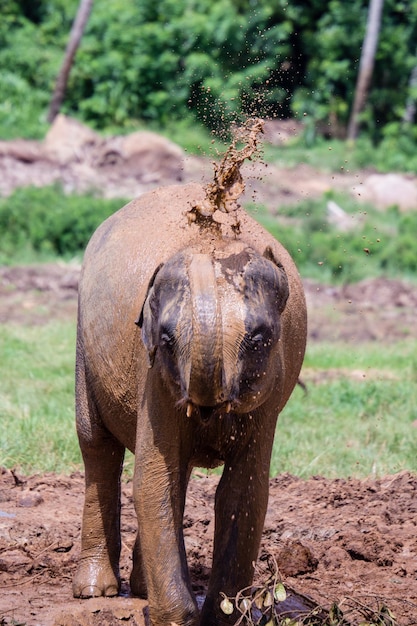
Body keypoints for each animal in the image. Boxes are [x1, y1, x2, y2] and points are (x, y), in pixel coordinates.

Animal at [72, 180, 306, 624]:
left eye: (259, 341)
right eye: (165, 339)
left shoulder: (270, 391)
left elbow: (244, 492)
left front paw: (223, 615)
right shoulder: (153, 377)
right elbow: (151, 482)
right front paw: (178, 619)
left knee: (174, 473)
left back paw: (139, 587)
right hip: (83, 348)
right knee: (97, 447)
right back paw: (95, 592)